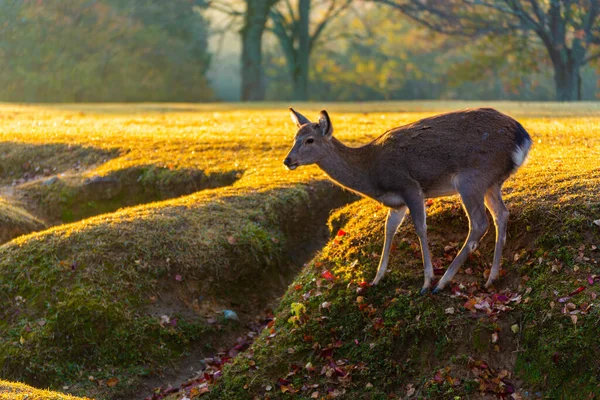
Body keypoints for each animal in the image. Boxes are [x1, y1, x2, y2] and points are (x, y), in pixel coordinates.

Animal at [284, 108, 532, 292]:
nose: (288, 160)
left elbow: (420, 228)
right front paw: (376, 279)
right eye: (294, 138)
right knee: (501, 214)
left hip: (472, 178)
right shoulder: (397, 203)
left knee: (480, 223)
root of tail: (524, 138)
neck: (371, 174)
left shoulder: (409, 186)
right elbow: (389, 229)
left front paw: (427, 281)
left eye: (309, 140)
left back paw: (442, 282)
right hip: (492, 182)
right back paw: (492, 278)